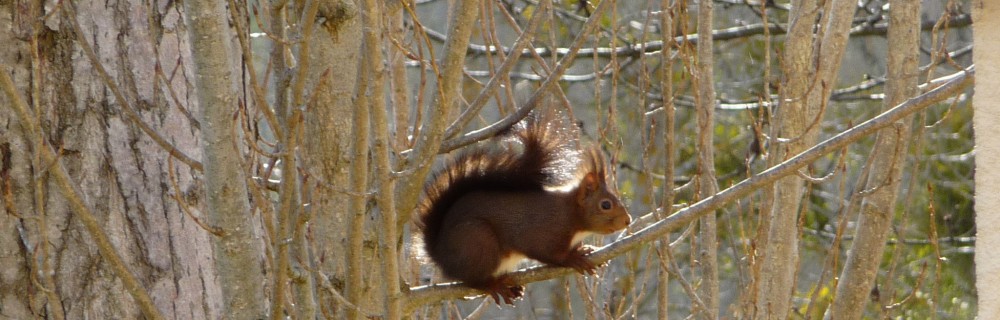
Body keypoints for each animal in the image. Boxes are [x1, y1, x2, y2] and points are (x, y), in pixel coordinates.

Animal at [418, 112, 628, 304]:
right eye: (606, 204)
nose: (628, 221)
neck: (571, 214)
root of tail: (441, 256)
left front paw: (586, 249)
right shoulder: (542, 231)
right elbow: (547, 253)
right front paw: (573, 257)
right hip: (478, 241)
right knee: (473, 280)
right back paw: (494, 285)